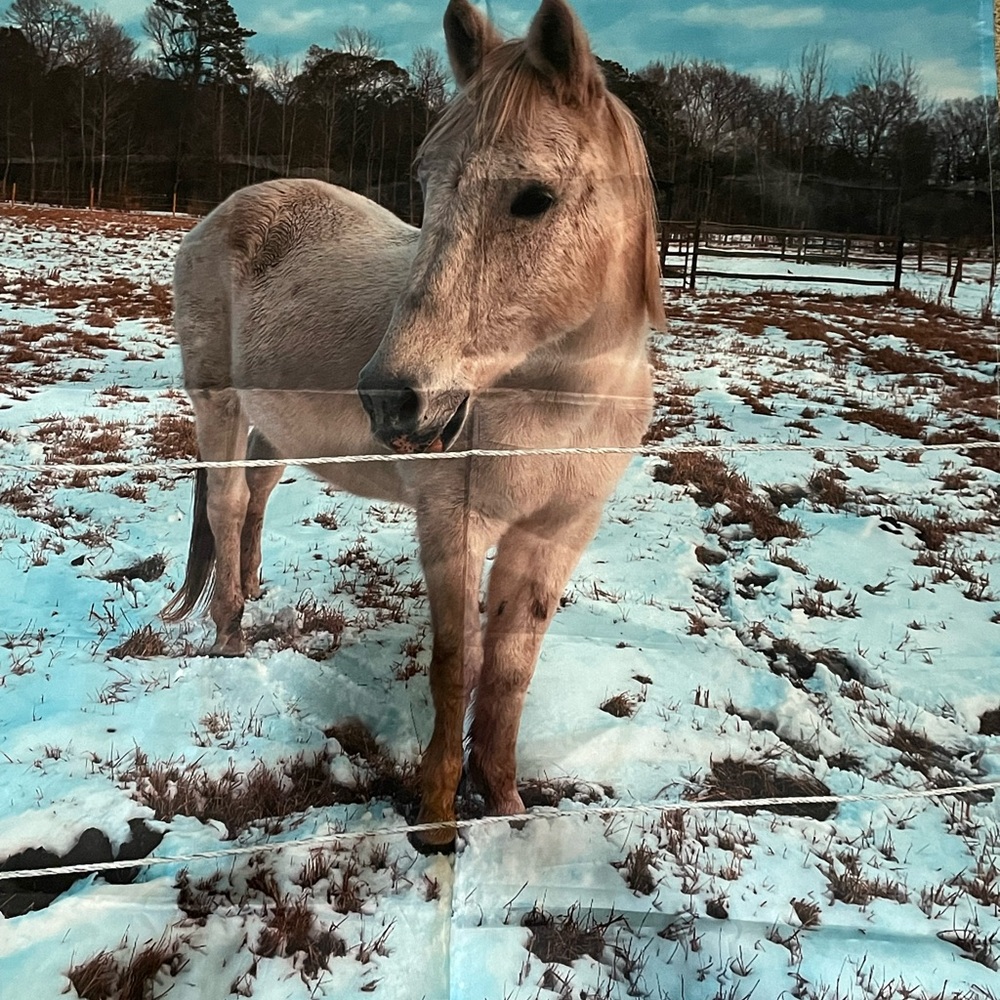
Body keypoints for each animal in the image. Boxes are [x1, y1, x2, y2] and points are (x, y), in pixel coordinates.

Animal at [162, 0, 664, 851]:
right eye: (425, 182)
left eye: (535, 197)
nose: (391, 400)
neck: (559, 402)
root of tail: (222, 215)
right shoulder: (454, 522)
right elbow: (457, 665)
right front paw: (435, 817)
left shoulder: (557, 534)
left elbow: (510, 672)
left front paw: (506, 803)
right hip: (218, 404)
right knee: (227, 506)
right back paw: (231, 632)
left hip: (272, 426)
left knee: (256, 497)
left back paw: (255, 591)